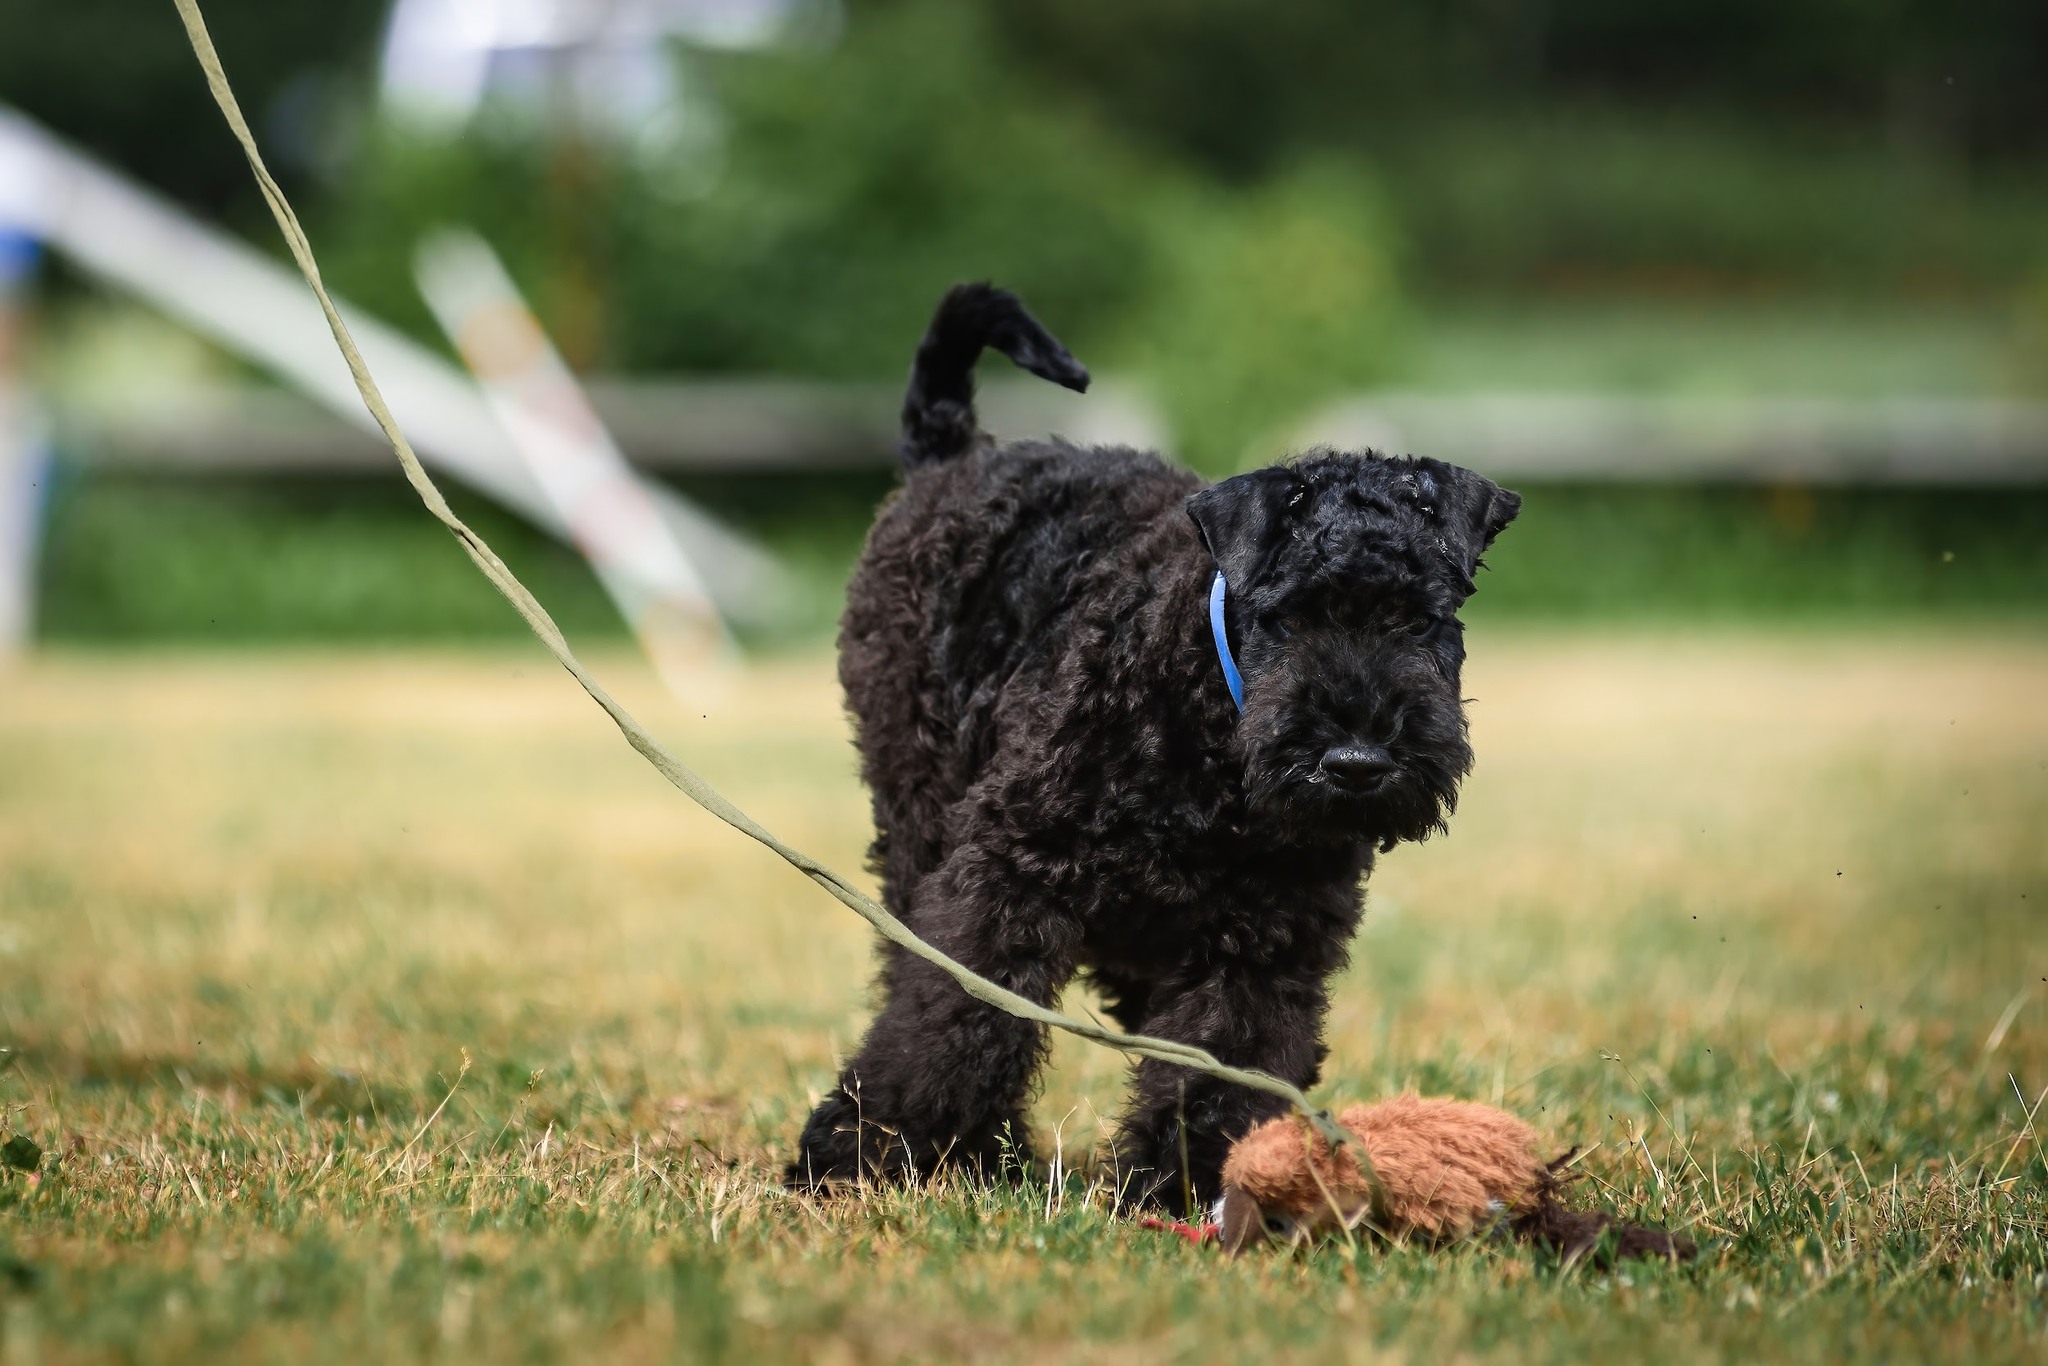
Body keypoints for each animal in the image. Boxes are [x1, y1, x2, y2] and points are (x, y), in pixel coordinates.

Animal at [786, 282, 1523, 1212]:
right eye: (1286, 614)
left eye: (1422, 619)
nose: (1356, 764)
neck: (1213, 726)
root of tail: (948, 459)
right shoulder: (1009, 868)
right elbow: (954, 1013)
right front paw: (866, 1151)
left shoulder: (1268, 932)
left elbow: (1222, 1059)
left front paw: (1186, 1183)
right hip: (919, 817)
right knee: (907, 957)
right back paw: (978, 1153)